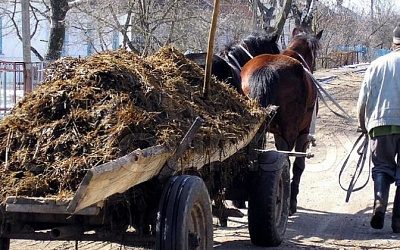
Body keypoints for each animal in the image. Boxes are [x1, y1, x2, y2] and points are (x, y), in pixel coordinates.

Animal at [241, 27, 322, 215]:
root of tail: (267, 70)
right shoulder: (303, 133)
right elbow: (298, 165)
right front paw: (292, 201)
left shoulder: (278, 133)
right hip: (291, 131)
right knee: (286, 160)